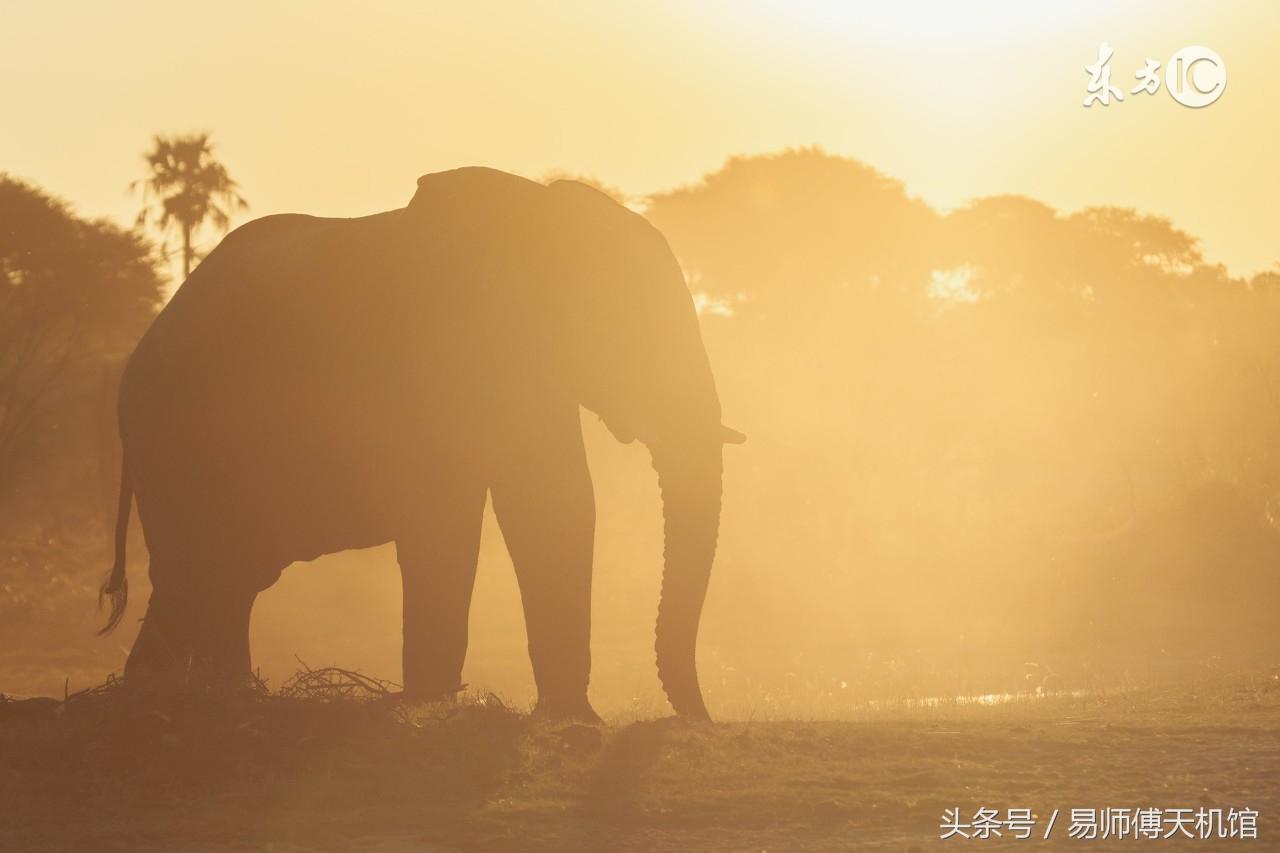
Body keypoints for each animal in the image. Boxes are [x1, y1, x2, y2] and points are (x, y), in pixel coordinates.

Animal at [99, 163, 742, 717]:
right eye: (629, 326)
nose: (700, 722)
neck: (539, 217)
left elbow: (553, 504)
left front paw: (569, 720)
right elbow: (474, 518)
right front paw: (433, 709)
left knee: (225, 578)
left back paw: (204, 696)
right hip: (177, 441)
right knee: (198, 574)